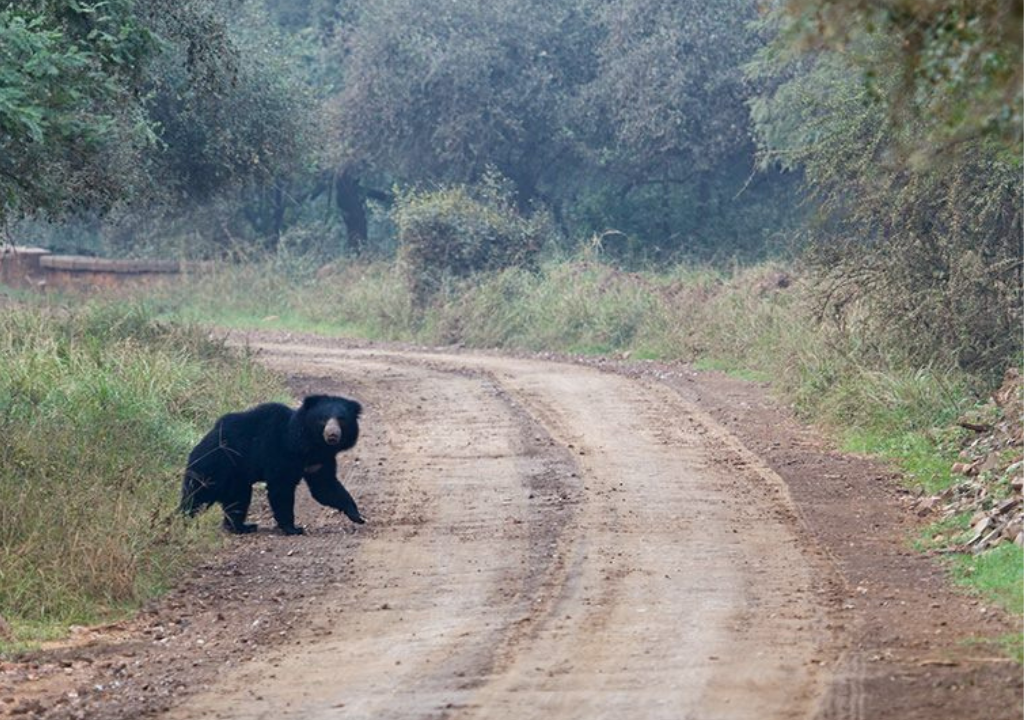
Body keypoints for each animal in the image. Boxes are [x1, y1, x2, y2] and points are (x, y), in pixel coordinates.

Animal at [181, 394, 365, 535]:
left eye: (341, 420)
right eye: (322, 419)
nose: (332, 434)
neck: (310, 445)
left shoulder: (319, 461)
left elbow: (325, 486)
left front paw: (357, 515)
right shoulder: (280, 453)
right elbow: (281, 489)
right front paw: (293, 528)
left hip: (236, 479)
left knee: (237, 500)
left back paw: (242, 526)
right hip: (214, 467)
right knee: (197, 496)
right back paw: (183, 519)